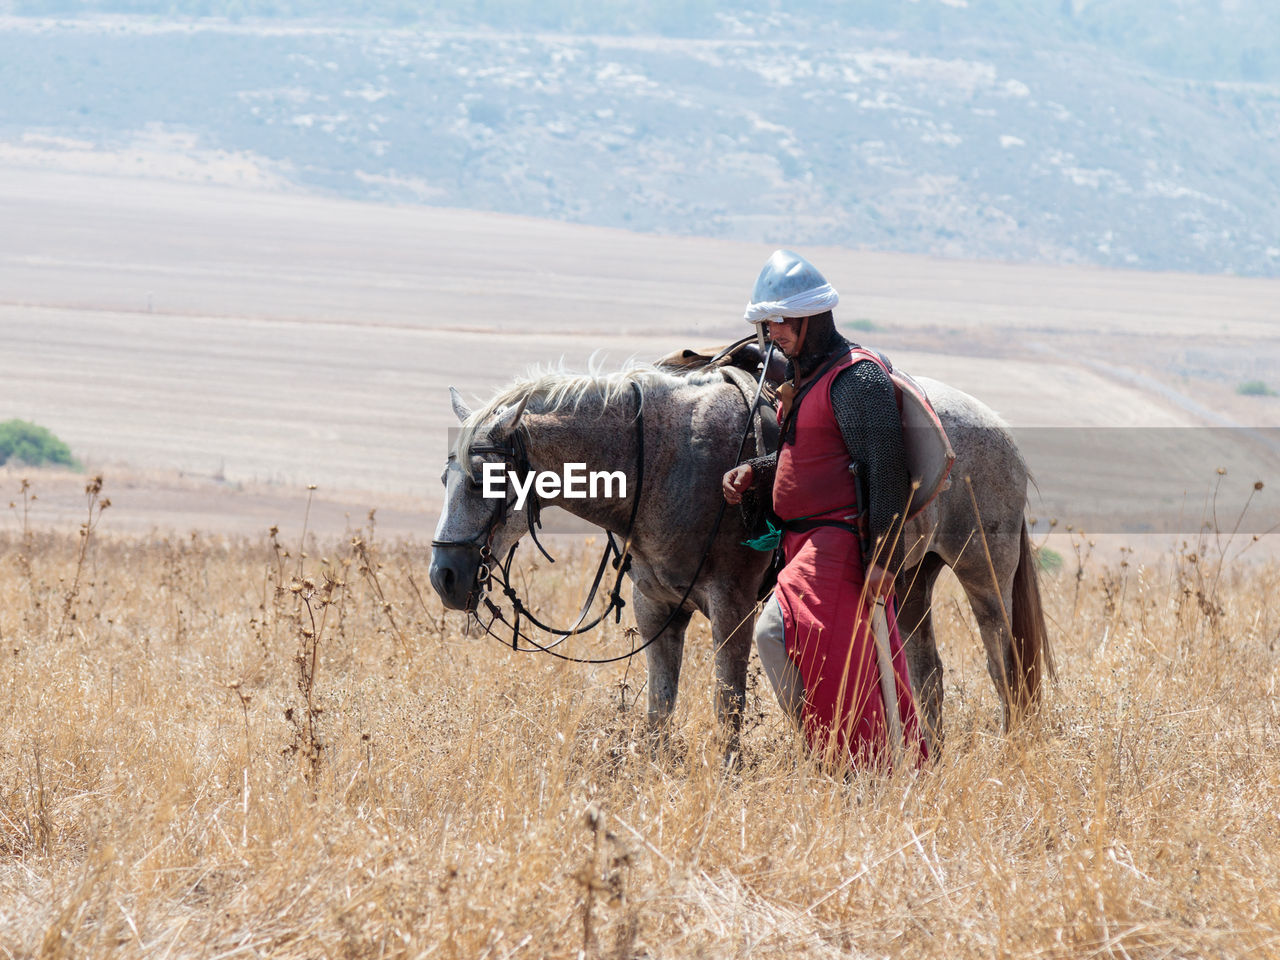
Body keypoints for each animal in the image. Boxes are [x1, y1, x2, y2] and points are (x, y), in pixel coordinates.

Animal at [430, 360, 1049, 752]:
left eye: (485, 480)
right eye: (445, 477)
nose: (446, 577)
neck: (662, 463)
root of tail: (1004, 435)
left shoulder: (732, 609)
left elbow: (726, 703)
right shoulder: (658, 611)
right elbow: (659, 709)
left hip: (983, 573)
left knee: (1003, 663)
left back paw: (1012, 746)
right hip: (911, 578)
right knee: (928, 674)